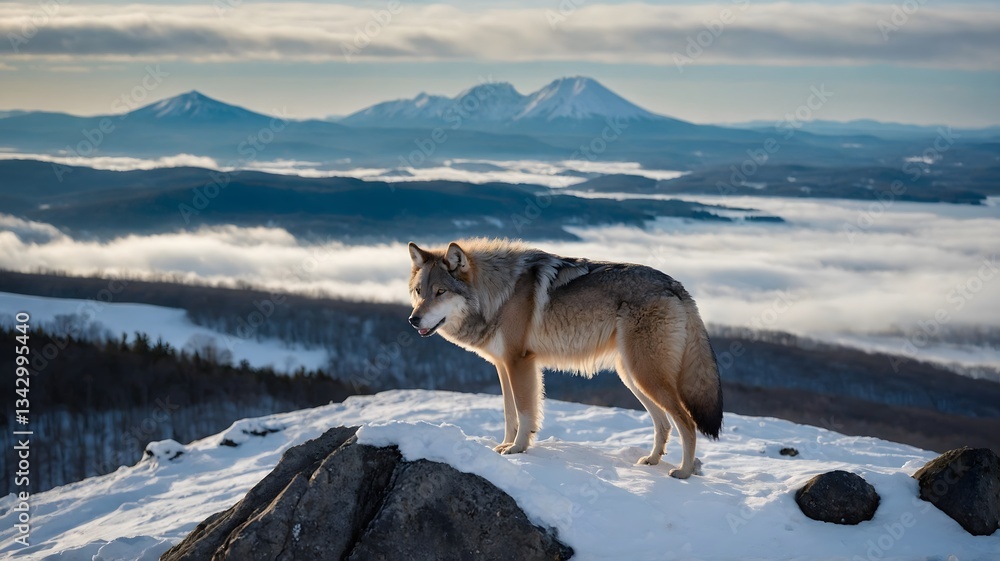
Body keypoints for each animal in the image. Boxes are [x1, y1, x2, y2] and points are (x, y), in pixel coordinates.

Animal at [407, 238, 722, 478]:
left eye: (441, 292)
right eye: (419, 292)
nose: (413, 319)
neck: (498, 294)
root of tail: (676, 285)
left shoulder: (520, 363)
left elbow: (525, 412)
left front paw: (517, 449)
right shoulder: (503, 366)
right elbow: (509, 414)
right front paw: (504, 445)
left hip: (645, 376)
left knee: (687, 422)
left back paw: (683, 472)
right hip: (633, 377)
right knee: (664, 423)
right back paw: (652, 460)